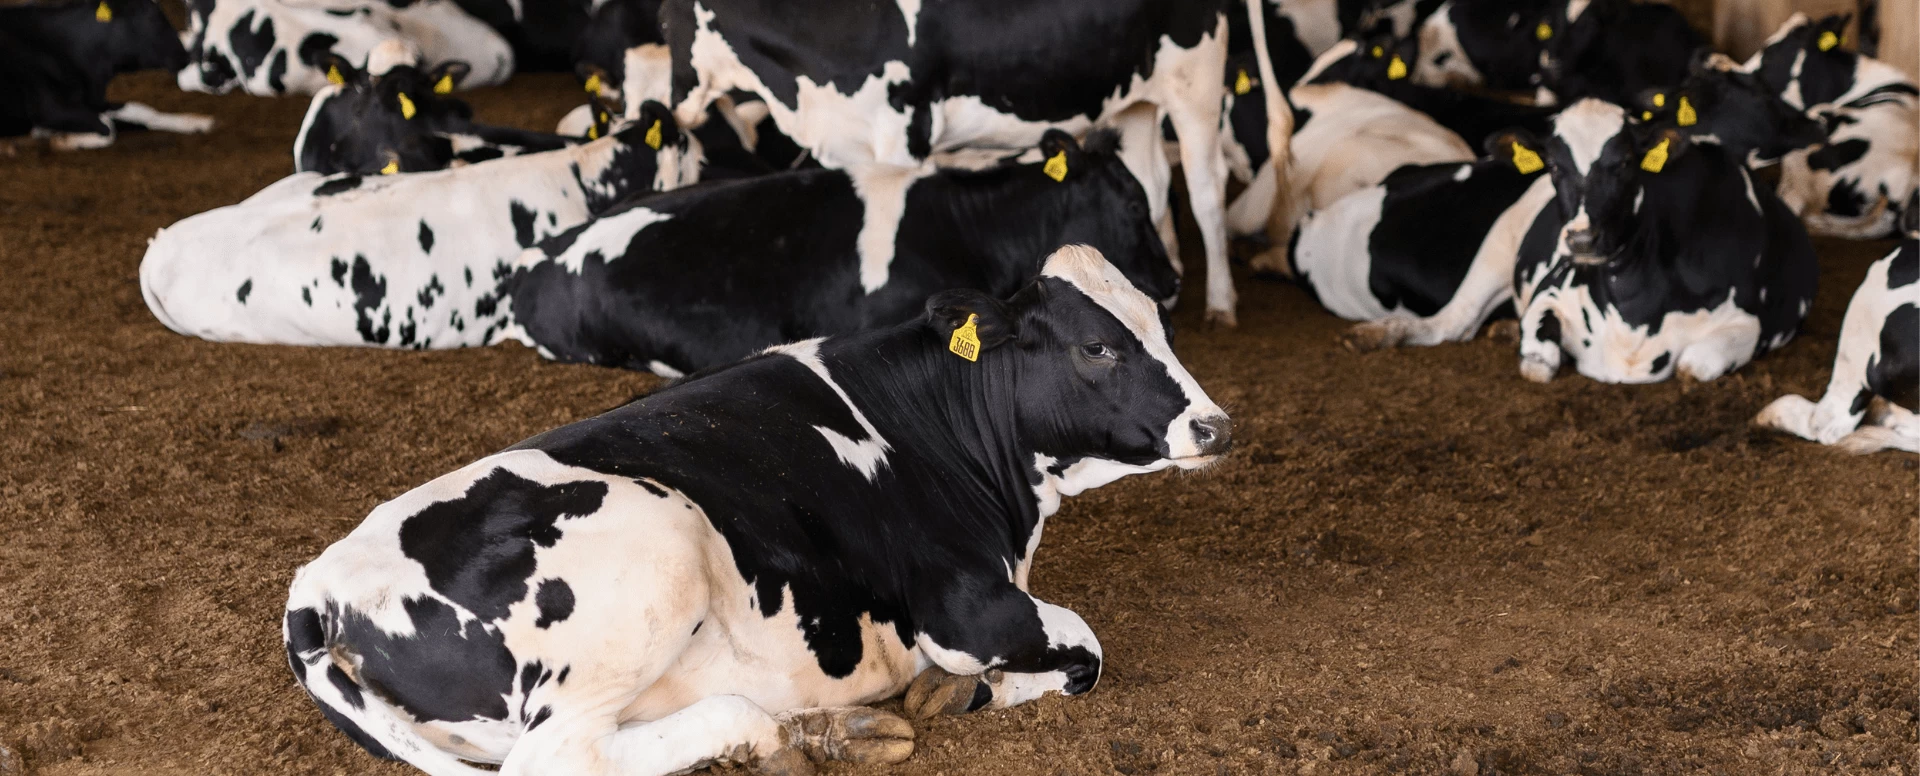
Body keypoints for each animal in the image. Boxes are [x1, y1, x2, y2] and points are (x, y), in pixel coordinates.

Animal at [0, 0, 212, 151]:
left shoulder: (93, 100)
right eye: (151, 16)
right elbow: (108, 127)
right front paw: (62, 139)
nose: (186, 54)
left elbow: (140, 110)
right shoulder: (47, 108)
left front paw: (195, 121)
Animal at [282, 244, 1232, 775]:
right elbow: (1088, 652)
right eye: (1098, 346)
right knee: (560, 757)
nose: (1216, 425)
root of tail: (320, 587)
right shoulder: (967, 609)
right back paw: (778, 736)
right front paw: (962, 695)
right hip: (658, 546)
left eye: (1163, 326)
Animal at [661, 0, 1295, 327]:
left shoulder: (901, 131)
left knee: (1206, 192)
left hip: (1195, 80)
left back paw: (1219, 303)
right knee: (1154, 179)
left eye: (665, 30)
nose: (668, 109)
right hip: (1133, 96)